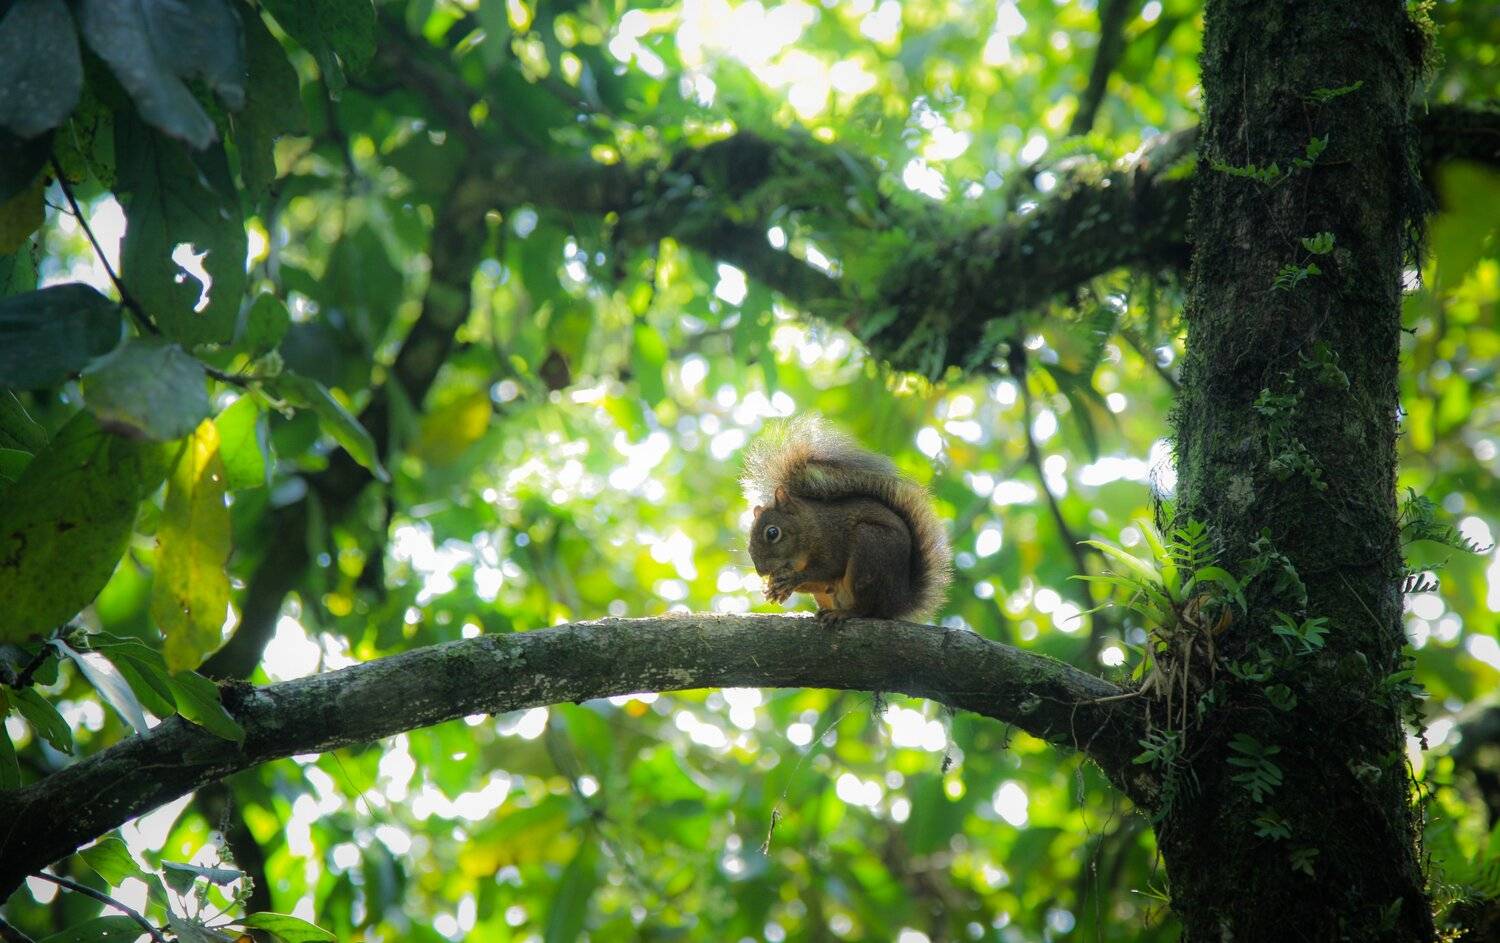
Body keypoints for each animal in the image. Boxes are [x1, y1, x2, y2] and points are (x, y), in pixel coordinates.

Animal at [741, 415, 952, 626]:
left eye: (772, 533)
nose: (761, 571)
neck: (808, 526)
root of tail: (898, 602)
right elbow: (817, 584)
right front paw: (774, 588)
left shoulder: (832, 540)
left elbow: (828, 570)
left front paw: (792, 580)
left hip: (869, 547)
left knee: (865, 609)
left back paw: (844, 613)